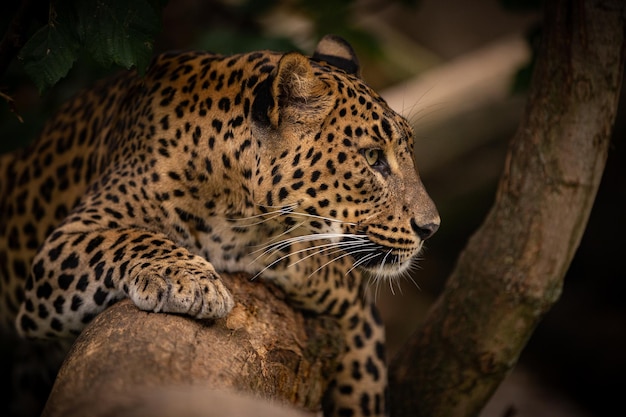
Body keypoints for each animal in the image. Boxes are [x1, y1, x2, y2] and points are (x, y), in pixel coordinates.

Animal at [0, 35, 438, 416]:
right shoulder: (64, 243)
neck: (233, 204)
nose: (430, 227)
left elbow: (363, 389)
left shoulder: (357, 312)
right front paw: (190, 281)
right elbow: (128, 237)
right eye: (373, 157)